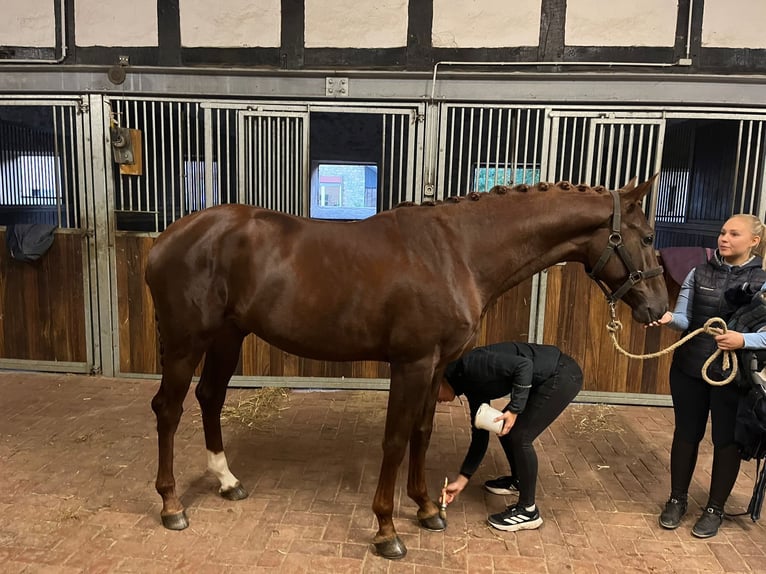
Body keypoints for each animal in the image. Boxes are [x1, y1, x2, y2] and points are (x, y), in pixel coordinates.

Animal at [146, 178, 672, 560]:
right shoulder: (412, 364)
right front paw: (386, 530)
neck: (456, 252)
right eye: (648, 237)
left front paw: (426, 508)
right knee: (168, 410)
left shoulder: (436, 365)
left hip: (228, 337)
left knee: (210, 397)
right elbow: (396, 441)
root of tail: (168, 239)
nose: (659, 310)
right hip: (186, 343)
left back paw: (227, 481)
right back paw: (171, 505)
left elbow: (421, 432)